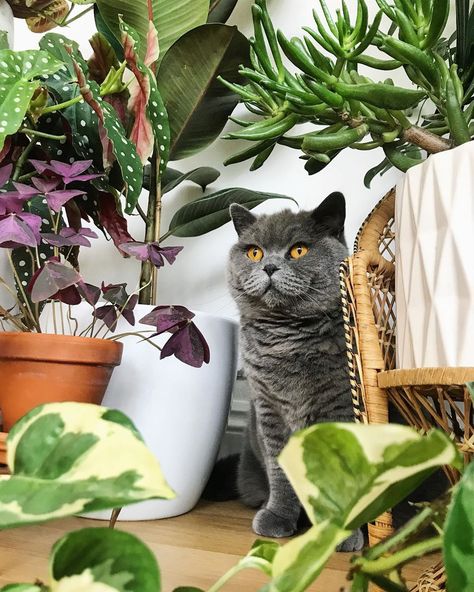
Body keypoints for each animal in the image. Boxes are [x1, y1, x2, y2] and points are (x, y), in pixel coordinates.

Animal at [226, 191, 362, 552]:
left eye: (299, 250)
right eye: (255, 252)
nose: (270, 266)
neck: (287, 340)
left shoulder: (341, 409)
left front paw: (345, 530)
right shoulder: (269, 410)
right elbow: (280, 471)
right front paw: (277, 517)